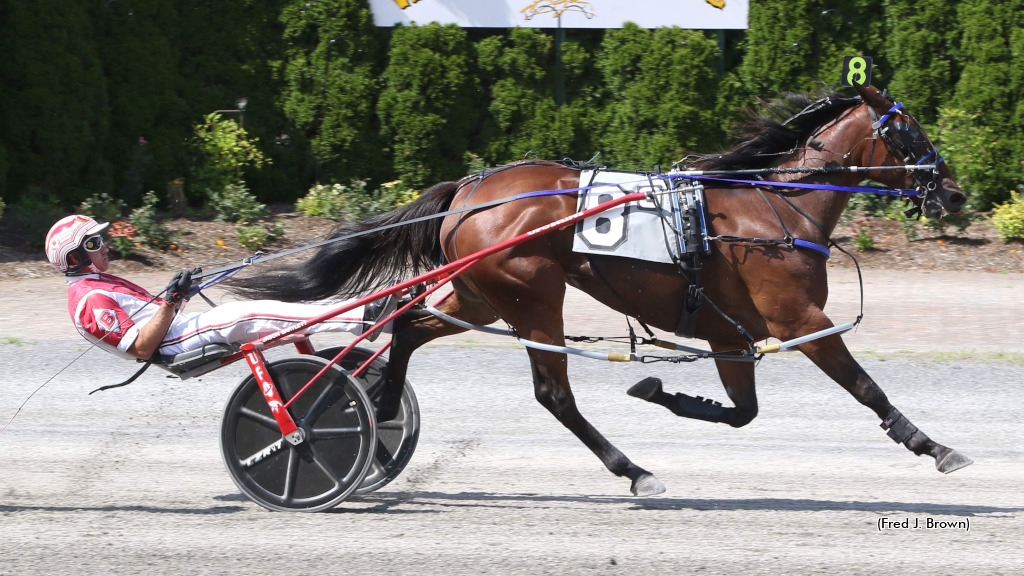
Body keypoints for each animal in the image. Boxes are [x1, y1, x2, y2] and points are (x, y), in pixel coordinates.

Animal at [235, 84, 970, 494]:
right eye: (907, 130)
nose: (955, 193)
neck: (775, 210)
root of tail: (469, 190)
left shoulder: (731, 336)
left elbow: (741, 413)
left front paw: (660, 389)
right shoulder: (799, 320)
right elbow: (865, 387)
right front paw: (934, 447)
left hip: (479, 294)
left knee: (407, 327)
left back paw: (379, 415)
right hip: (531, 296)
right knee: (552, 394)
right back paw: (634, 471)